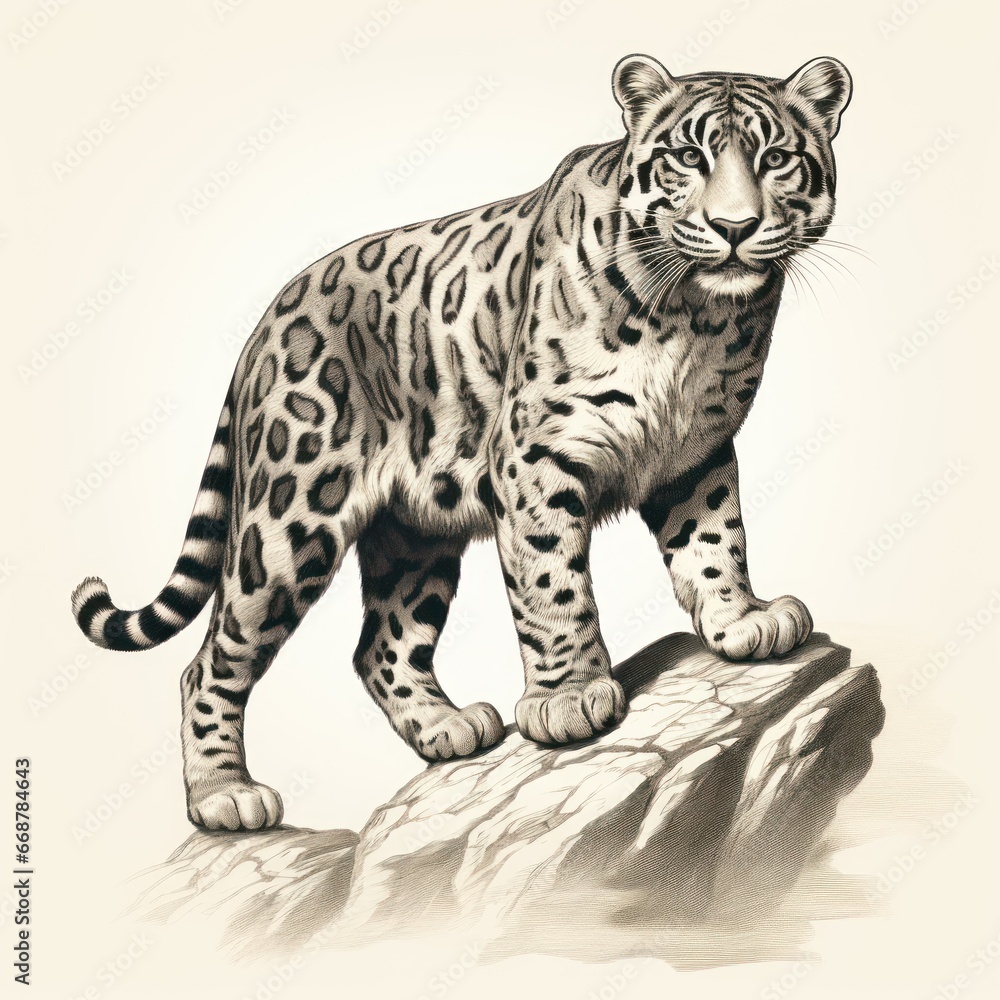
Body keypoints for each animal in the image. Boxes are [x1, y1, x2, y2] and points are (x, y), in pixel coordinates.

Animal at [72, 53, 852, 831]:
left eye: (777, 159)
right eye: (688, 158)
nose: (734, 226)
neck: (698, 315)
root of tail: (267, 322)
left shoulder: (695, 451)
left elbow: (715, 540)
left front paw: (741, 619)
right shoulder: (537, 454)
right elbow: (552, 582)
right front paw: (569, 697)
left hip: (414, 535)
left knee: (382, 645)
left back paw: (446, 728)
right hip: (289, 518)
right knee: (212, 661)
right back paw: (223, 796)